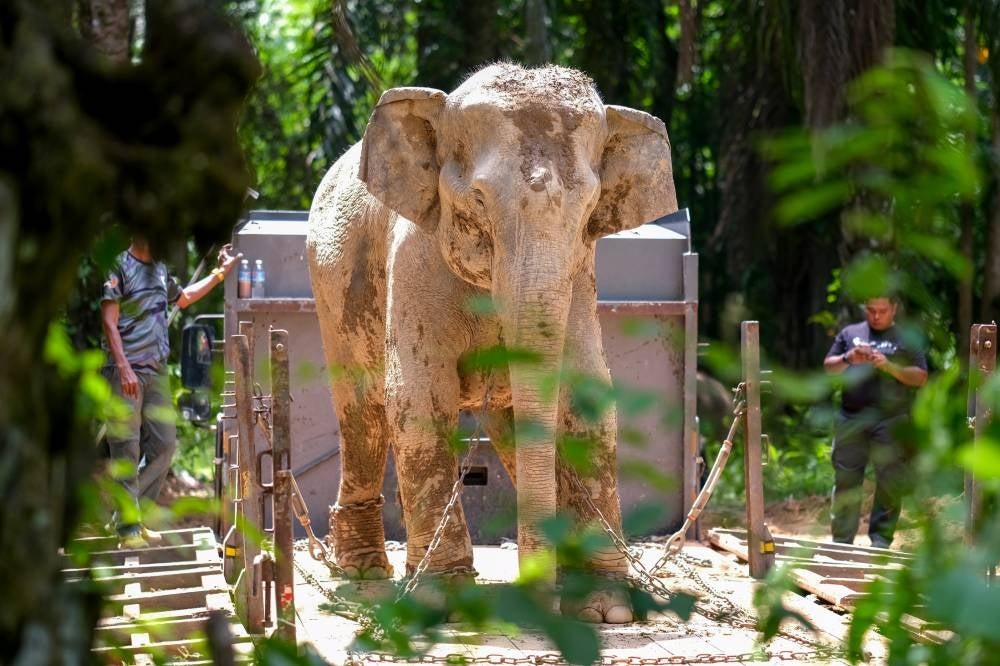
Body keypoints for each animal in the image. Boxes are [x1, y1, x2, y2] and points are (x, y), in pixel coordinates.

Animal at [306, 62, 677, 624]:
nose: (538, 601)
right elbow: (419, 399)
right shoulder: (414, 262)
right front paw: (443, 601)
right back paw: (364, 573)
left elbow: (586, 395)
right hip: (332, 292)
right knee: (363, 413)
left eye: (589, 208)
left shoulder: (581, 274)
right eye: (477, 201)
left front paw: (605, 610)